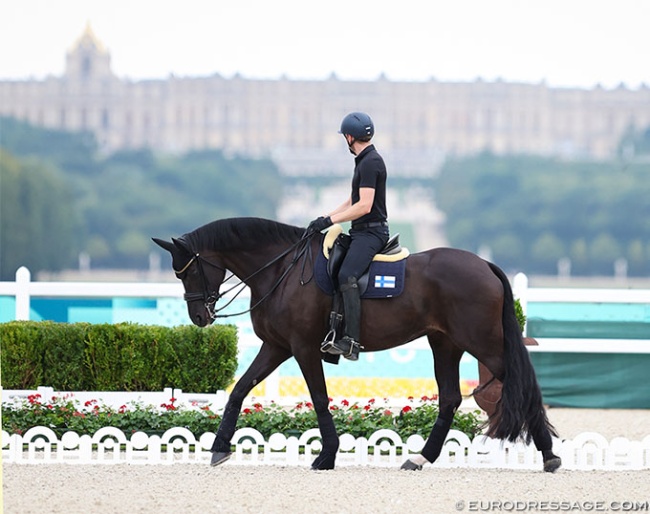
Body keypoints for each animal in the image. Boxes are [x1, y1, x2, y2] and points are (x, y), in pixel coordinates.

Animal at [154, 214, 560, 470]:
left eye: (188, 272)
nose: (199, 317)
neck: (282, 270)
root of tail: (484, 265)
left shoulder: (302, 348)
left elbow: (318, 398)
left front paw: (326, 456)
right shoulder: (277, 347)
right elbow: (239, 390)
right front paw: (220, 448)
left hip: (482, 343)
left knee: (522, 386)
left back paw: (549, 455)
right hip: (445, 343)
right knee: (450, 399)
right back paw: (420, 458)